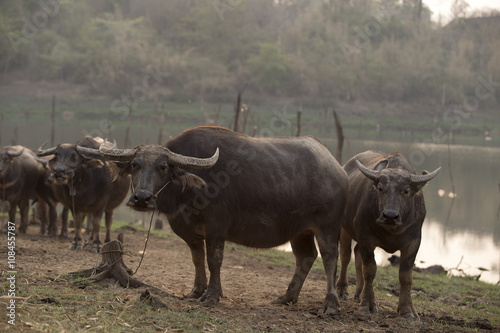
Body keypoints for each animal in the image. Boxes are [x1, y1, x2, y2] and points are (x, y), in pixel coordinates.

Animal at [95, 126, 350, 312]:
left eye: (163, 166)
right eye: (134, 164)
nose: (142, 198)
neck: (190, 190)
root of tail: (337, 168)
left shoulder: (216, 230)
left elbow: (214, 260)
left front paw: (211, 296)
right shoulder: (190, 232)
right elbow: (197, 260)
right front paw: (196, 291)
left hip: (327, 226)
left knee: (330, 258)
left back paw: (330, 304)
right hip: (299, 230)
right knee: (305, 257)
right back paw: (286, 297)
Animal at [336, 150, 442, 316]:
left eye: (406, 190)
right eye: (380, 188)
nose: (390, 216)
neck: (392, 229)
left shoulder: (414, 242)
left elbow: (406, 276)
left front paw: (407, 309)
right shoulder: (366, 237)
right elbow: (370, 270)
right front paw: (368, 304)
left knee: (357, 253)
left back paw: (358, 293)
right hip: (344, 228)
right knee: (346, 256)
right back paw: (342, 291)